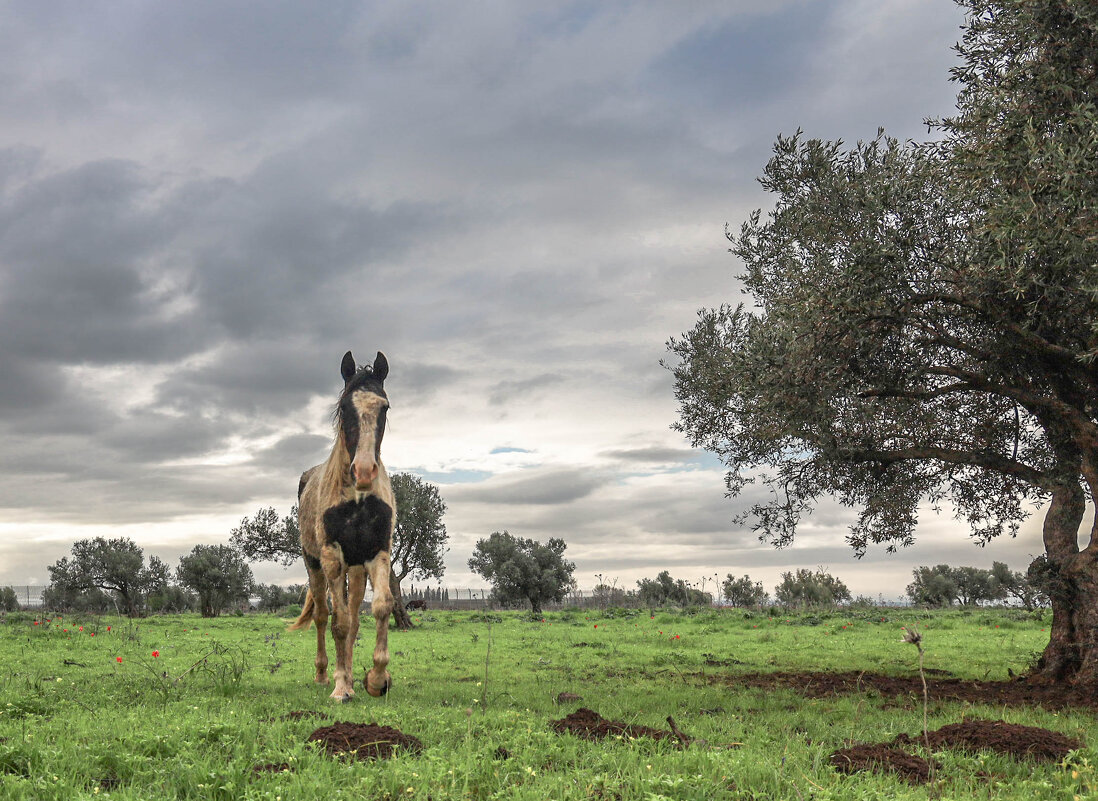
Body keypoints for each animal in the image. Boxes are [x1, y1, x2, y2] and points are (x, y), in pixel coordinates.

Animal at [289, 348, 397, 697]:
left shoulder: (377, 553)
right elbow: (338, 623)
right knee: (323, 616)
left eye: (384, 407)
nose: (363, 470)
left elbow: (379, 608)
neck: (358, 498)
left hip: (357, 569)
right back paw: (326, 675)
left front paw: (375, 679)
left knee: (352, 615)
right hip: (315, 565)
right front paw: (340, 687)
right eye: (344, 407)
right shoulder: (332, 556)